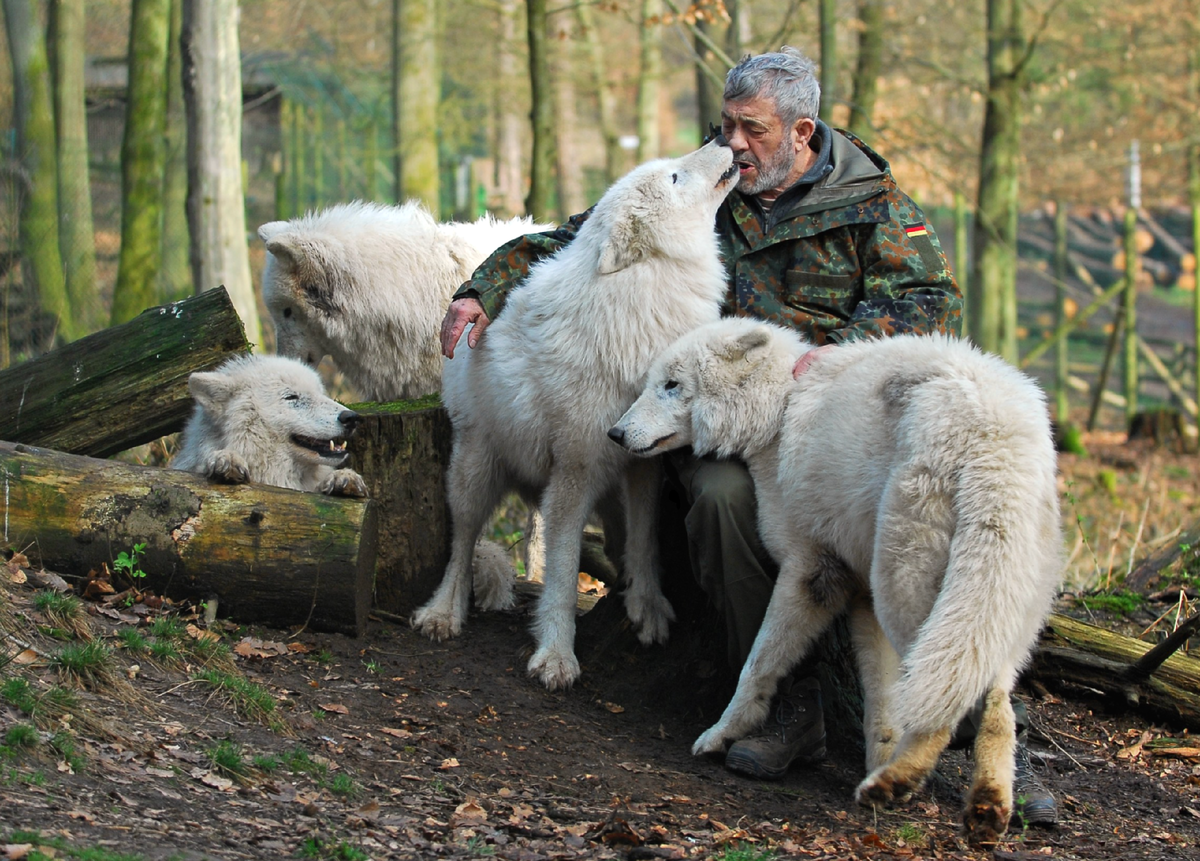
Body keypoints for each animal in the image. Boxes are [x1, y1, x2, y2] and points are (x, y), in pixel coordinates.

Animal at [412, 143, 739, 695]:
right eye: (674, 176)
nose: (722, 140)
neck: (642, 304)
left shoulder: (640, 461)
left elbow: (645, 538)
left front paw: (647, 606)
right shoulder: (575, 471)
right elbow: (563, 575)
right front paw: (556, 655)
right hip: (475, 474)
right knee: (462, 543)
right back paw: (442, 613)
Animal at [609, 321, 1060, 839]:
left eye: (671, 386)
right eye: (652, 383)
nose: (615, 433)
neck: (779, 411)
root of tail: (997, 436)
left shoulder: (810, 572)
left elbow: (758, 664)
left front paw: (722, 734)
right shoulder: (860, 597)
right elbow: (881, 707)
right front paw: (875, 762)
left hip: (909, 597)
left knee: (953, 700)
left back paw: (901, 781)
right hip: (977, 605)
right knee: (997, 703)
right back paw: (986, 805)